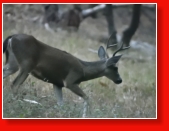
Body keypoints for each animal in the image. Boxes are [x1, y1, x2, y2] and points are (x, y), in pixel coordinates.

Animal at [2, 33, 130, 117]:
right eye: (115, 67)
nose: (119, 80)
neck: (84, 70)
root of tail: (11, 37)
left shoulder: (57, 83)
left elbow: (61, 104)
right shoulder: (70, 81)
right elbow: (87, 97)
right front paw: (84, 116)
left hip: (13, 63)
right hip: (26, 64)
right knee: (14, 84)